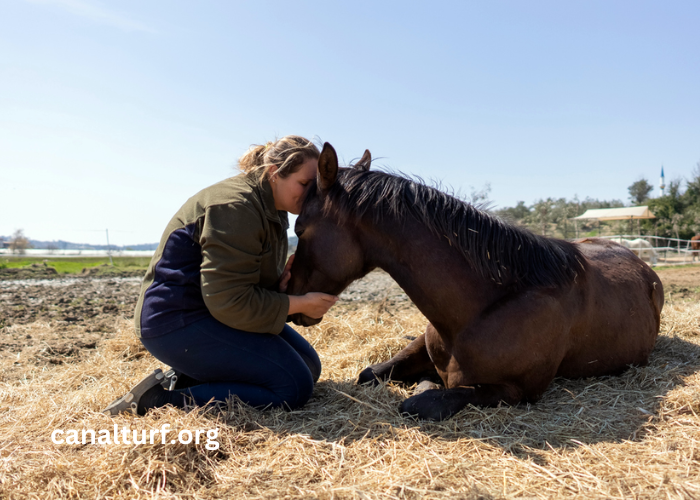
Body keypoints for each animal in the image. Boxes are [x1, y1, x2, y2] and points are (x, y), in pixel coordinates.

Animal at [288, 143, 664, 420]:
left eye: (300, 228)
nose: (289, 292)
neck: (483, 308)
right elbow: (370, 373)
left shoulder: (513, 390)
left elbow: (419, 401)